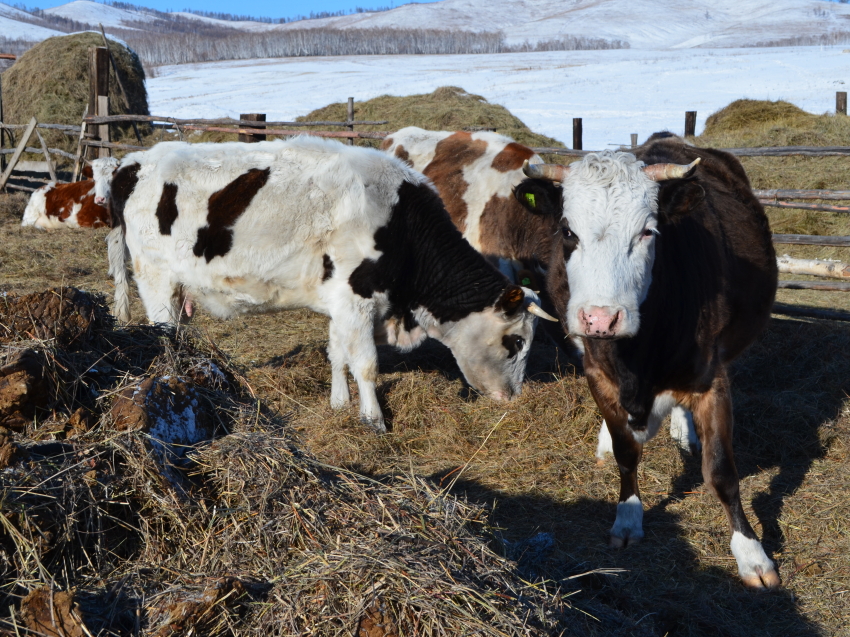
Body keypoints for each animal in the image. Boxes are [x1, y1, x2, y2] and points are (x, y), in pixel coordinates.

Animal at [106, 137, 556, 434]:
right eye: (517, 341)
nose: (513, 397)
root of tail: (134, 162)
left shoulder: (341, 301)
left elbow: (338, 352)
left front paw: (339, 405)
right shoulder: (358, 298)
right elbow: (367, 364)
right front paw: (373, 420)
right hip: (156, 280)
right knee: (164, 334)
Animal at [512, 135, 780, 592]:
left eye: (647, 232)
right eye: (568, 231)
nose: (600, 319)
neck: (636, 360)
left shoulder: (712, 379)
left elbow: (721, 472)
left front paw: (751, 554)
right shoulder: (597, 373)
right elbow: (626, 454)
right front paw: (628, 517)